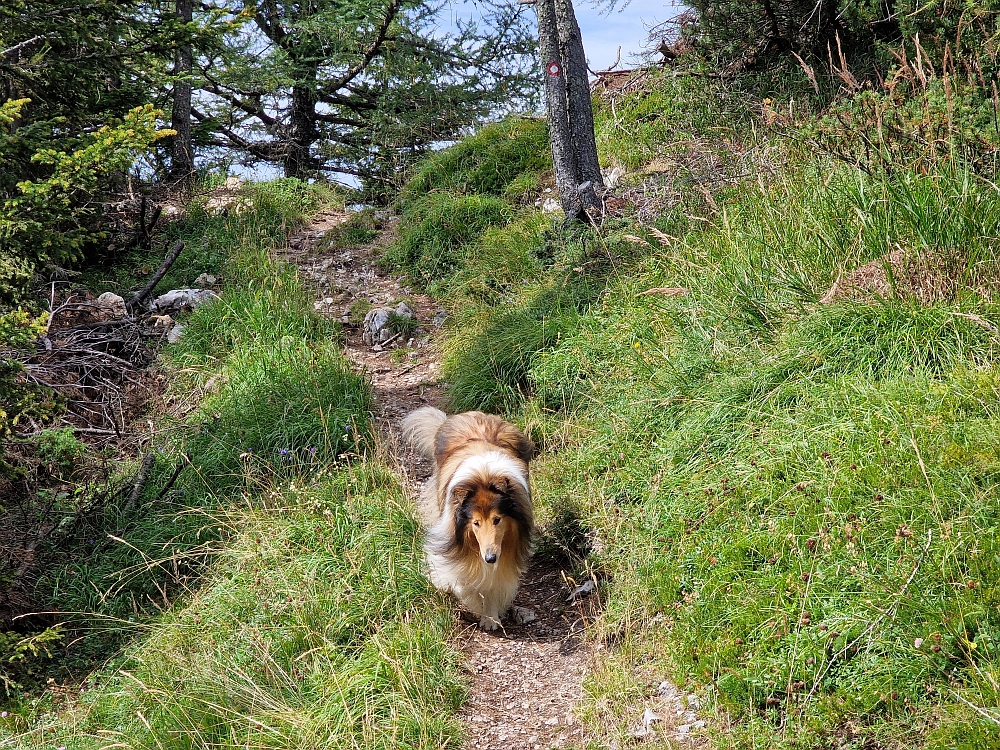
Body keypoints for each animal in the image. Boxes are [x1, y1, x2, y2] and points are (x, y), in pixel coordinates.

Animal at [402, 408, 536, 632]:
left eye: (497, 519)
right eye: (476, 523)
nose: (490, 558)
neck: (484, 476)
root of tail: (475, 413)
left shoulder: (505, 550)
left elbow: (494, 582)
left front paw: (490, 617)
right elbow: (462, 583)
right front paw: (475, 604)